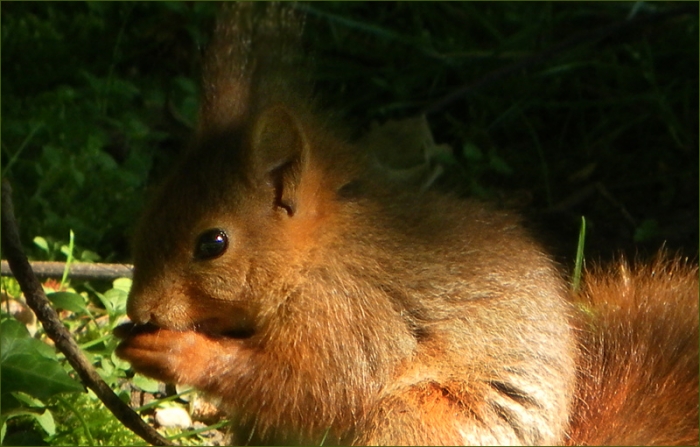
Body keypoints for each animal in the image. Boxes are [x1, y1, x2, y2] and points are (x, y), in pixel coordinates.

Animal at [115, 4, 698, 445]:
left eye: (213, 243)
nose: (139, 310)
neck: (314, 257)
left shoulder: (352, 317)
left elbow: (315, 387)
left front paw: (176, 351)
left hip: (418, 418)